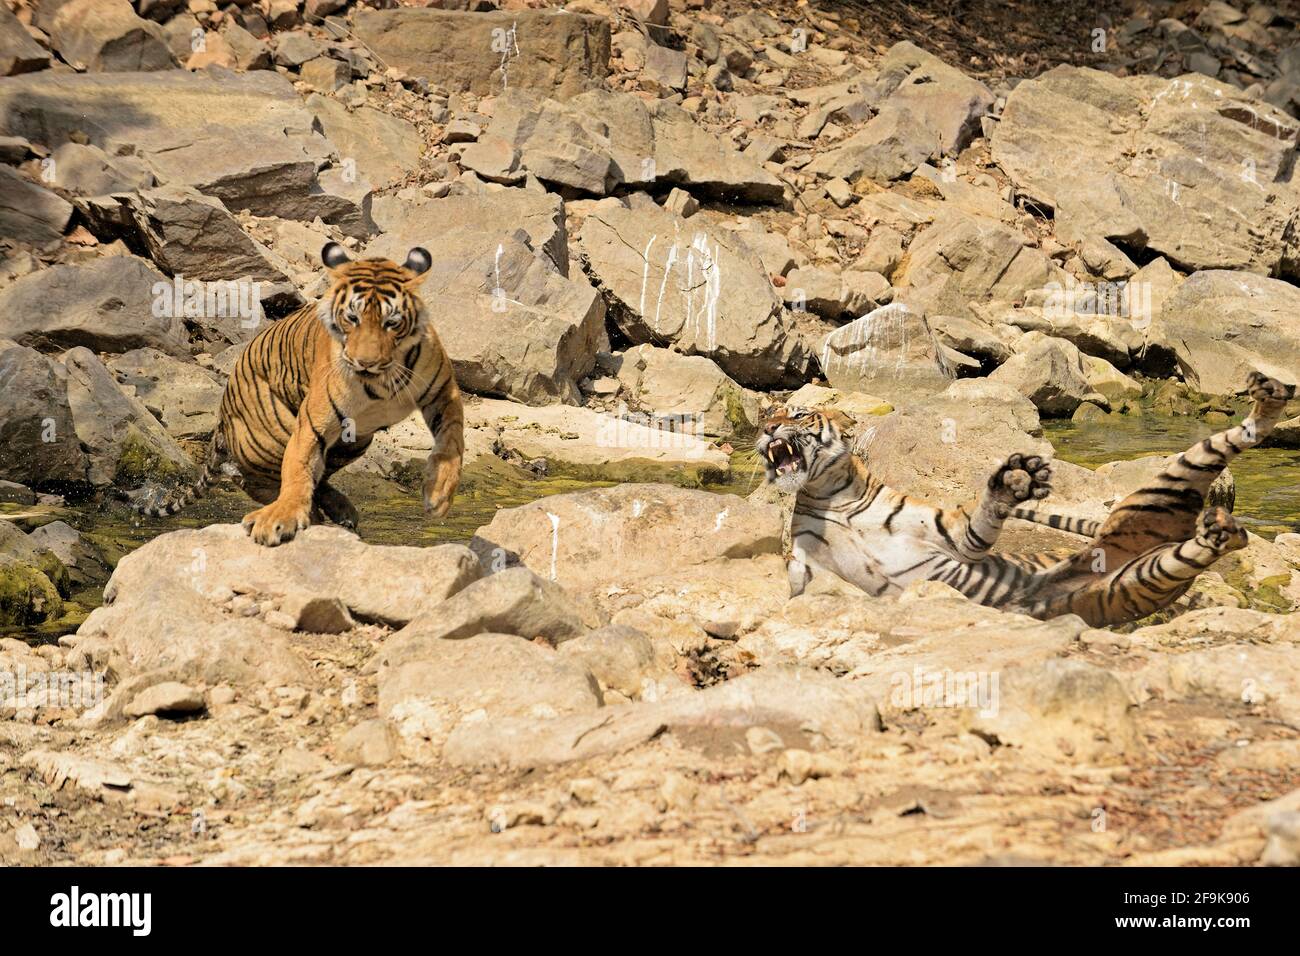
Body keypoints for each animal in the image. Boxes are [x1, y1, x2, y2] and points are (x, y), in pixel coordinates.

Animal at [134, 242, 464, 547]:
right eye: (352, 319)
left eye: (391, 323)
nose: (365, 363)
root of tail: (223, 411)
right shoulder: (312, 422)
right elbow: (297, 470)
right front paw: (280, 518)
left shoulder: (444, 393)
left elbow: (452, 441)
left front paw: (439, 493)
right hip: (272, 438)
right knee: (251, 476)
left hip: (355, 440)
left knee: (318, 478)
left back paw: (342, 512)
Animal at [758, 371, 1294, 628]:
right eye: (767, 413)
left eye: (798, 414)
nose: (765, 429)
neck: (834, 496)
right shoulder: (803, 561)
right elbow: (802, 583)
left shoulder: (952, 536)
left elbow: (981, 515)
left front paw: (1013, 482)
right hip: (1147, 574)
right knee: (1215, 543)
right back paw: (1221, 528)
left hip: (1162, 485)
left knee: (1242, 433)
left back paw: (1270, 398)